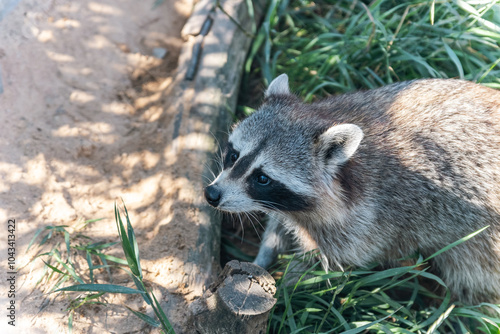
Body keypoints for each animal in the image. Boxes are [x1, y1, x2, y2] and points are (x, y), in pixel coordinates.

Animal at [204, 74, 500, 304]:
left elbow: (327, 266)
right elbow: (279, 228)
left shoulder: (368, 222)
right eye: (233, 155)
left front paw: (285, 290)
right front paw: (262, 258)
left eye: (262, 178)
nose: (212, 194)